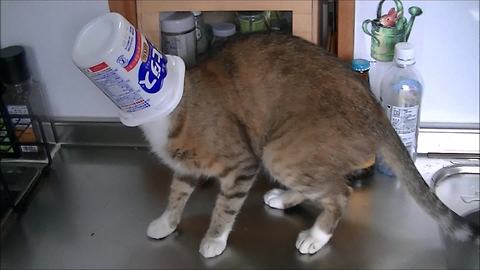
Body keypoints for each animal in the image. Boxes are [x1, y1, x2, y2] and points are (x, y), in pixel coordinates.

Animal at [141, 33, 478, 258]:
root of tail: (378, 112)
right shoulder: (185, 168)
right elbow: (176, 195)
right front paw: (165, 223)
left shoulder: (241, 163)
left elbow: (225, 207)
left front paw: (214, 239)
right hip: (292, 156)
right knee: (325, 184)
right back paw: (284, 199)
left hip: (278, 153)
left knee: (340, 192)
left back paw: (317, 236)